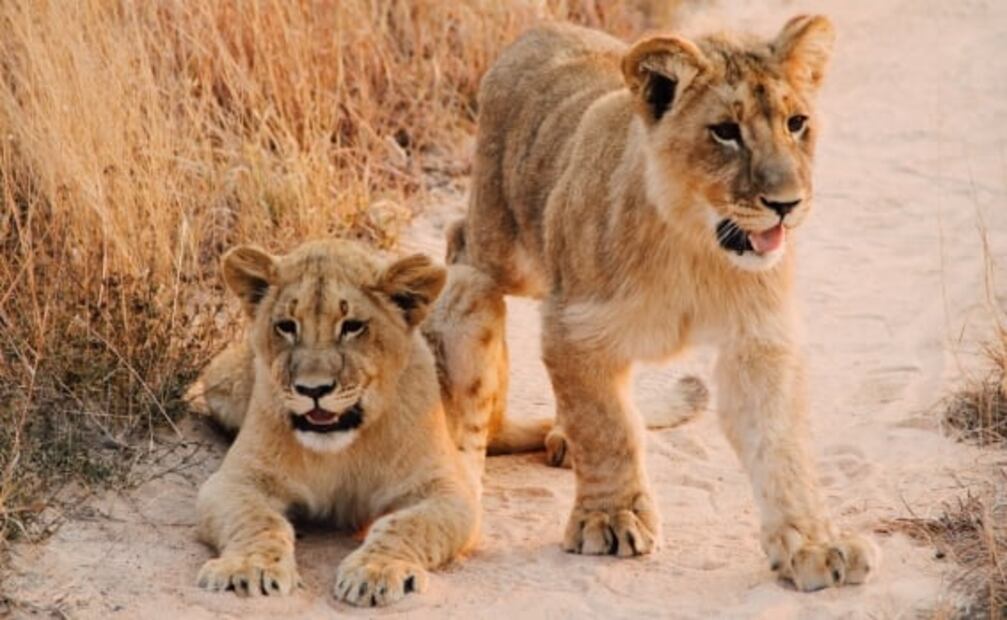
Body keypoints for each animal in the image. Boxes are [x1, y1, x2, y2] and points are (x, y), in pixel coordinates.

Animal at [188, 239, 549, 606]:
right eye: (287, 326)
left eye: (352, 326)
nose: (313, 390)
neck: (340, 448)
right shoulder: (235, 481)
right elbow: (256, 519)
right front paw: (250, 566)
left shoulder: (445, 491)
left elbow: (406, 525)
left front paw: (376, 571)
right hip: (219, 379)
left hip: (470, 284)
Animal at [450, 16, 881, 591]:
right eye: (725, 131)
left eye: (796, 123)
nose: (786, 204)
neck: (693, 244)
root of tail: (544, 27)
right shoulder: (575, 325)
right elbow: (606, 426)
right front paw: (610, 519)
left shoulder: (759, 339)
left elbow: (780, 444)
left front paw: (812, 545)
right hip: (503, 245)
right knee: (460, 239)